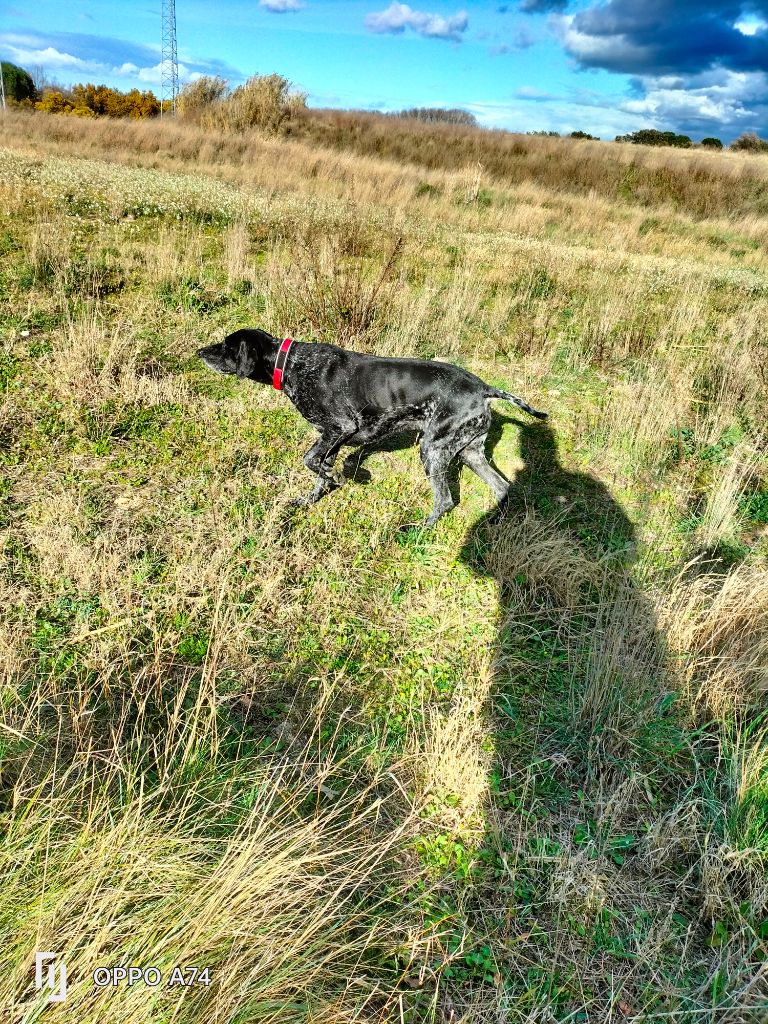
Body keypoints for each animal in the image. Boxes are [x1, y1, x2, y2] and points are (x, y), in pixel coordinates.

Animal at [198, 327, 548, 524]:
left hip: (433, 450)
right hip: (469, 451)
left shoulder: (340, 428)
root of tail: (485, 389)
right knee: (502, 487)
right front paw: (312, 498)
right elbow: (319, 472)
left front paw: (342, 478)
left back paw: (417, 530)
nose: (200, 351)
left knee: (445, 500)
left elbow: (310, 461)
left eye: (226, 345)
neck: (292, 365)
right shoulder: (332, 439)